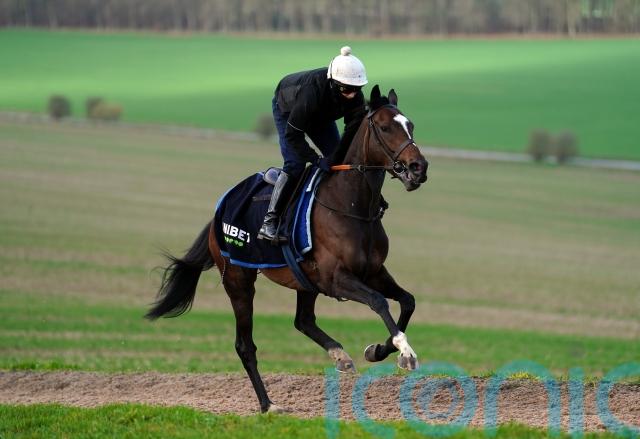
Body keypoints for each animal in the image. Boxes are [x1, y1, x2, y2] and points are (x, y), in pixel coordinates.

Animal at [146, 85, 429, 413]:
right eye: (384, 127)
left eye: (411, 125)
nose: (419, 167)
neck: (351, 205)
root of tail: (220, 207)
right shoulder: (336, 279)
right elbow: (379, 302)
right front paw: (405, 352)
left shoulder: (373, 272)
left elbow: (407, 301)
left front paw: (378, 350)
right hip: (239, 281)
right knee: (245, 345)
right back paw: (268, 404)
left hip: (304, 282)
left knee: (303, 320)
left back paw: (340, 356)